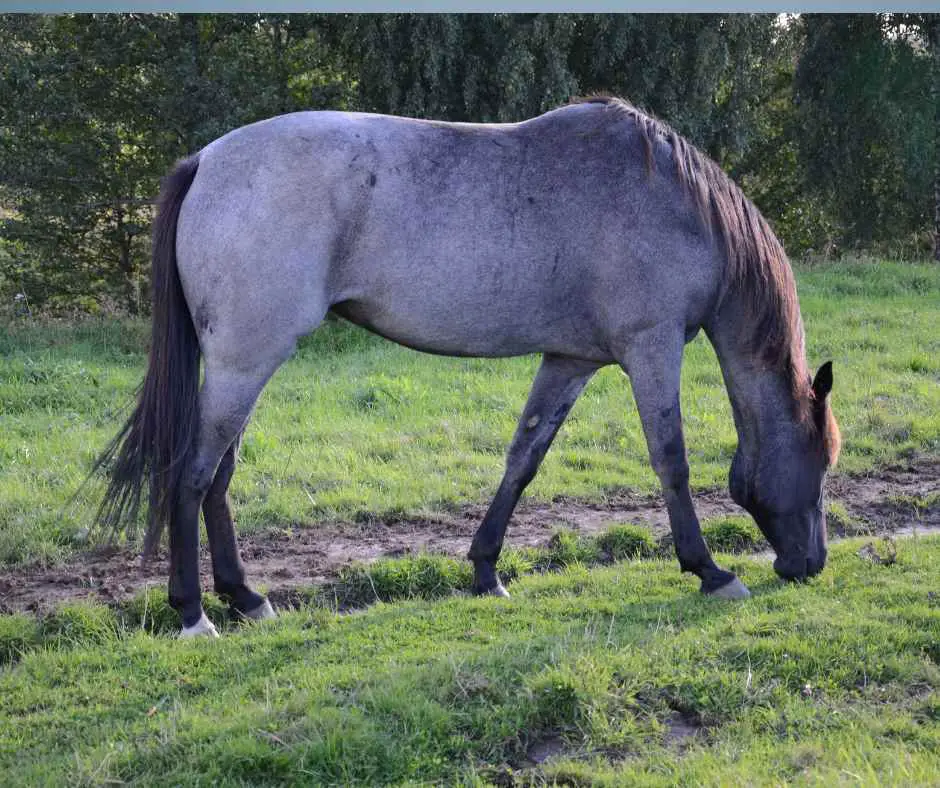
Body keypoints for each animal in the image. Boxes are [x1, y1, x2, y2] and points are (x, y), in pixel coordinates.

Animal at [99, 97, 840, 636]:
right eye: (824, 460)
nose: (811, 565)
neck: (676, 205)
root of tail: (205, 161)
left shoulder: (571, 359)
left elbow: (523, 458)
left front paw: (486, 571)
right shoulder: (651, 349)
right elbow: (672, 462)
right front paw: (710, 570)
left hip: (242, 366)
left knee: (218, 477)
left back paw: (245, 598)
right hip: (244, 362)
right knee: (193, 475)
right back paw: (194, 612)